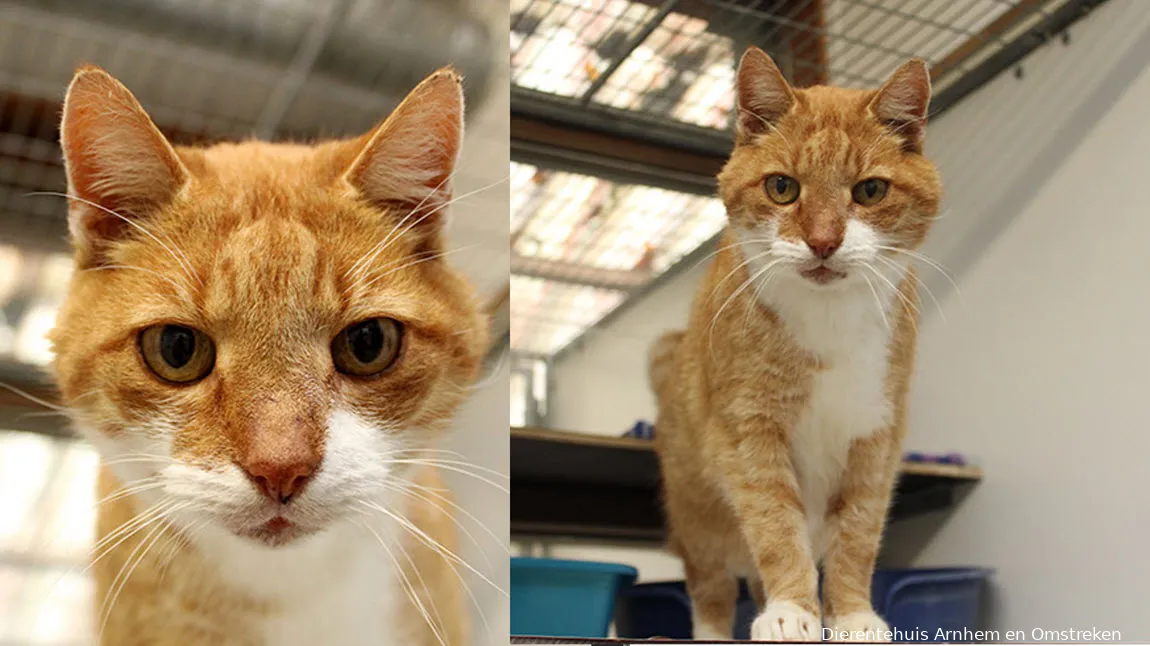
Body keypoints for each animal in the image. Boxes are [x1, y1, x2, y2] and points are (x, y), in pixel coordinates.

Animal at [648, 47, 943, 639]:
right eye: (782, 187)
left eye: (870, 190)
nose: (824, 242)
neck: (828, 321)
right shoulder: (749, 431)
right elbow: (776, 527)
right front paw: (792, 611)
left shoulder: (875, 437)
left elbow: (857, 536)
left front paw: (851, 616)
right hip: (698, 519)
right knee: (712, 590)